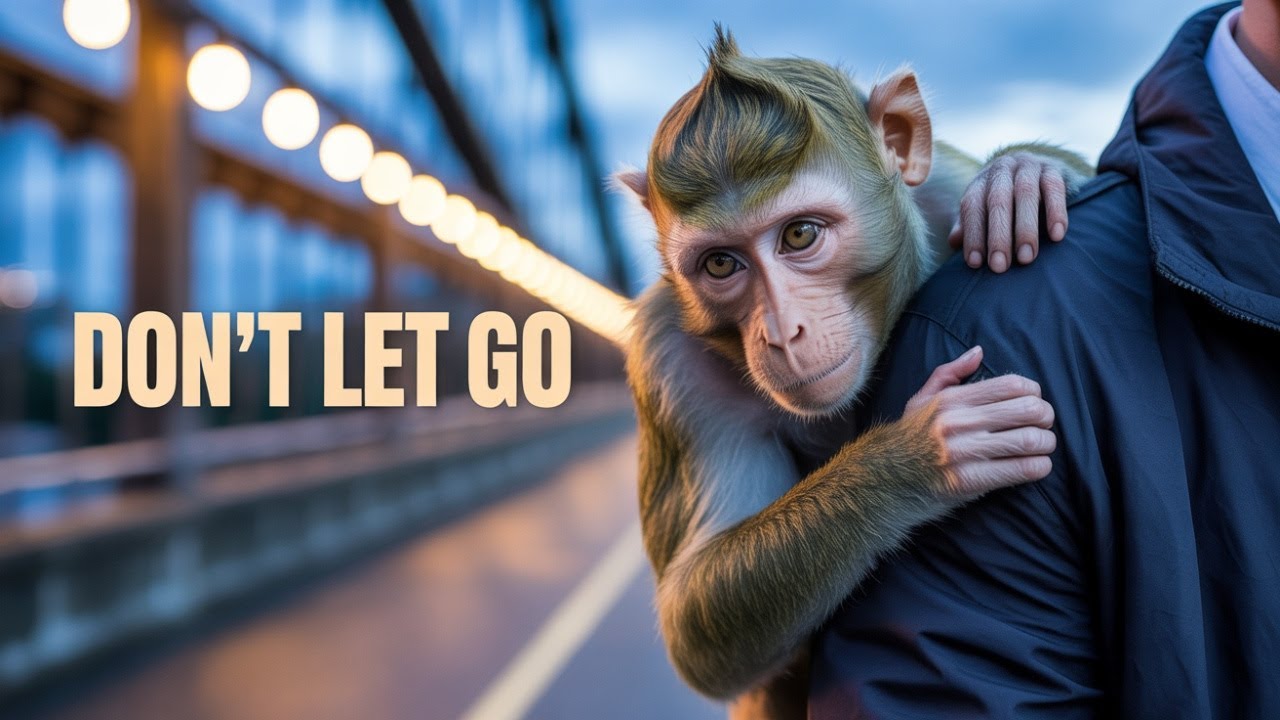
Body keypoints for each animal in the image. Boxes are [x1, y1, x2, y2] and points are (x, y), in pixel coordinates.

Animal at [616, 30, 1094, 719]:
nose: (781, 332)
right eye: (720, 264)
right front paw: (914, 459)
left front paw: (1020, 177)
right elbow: (693, 620)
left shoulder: (939, 189)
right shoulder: (669, 364)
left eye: (799, 235)